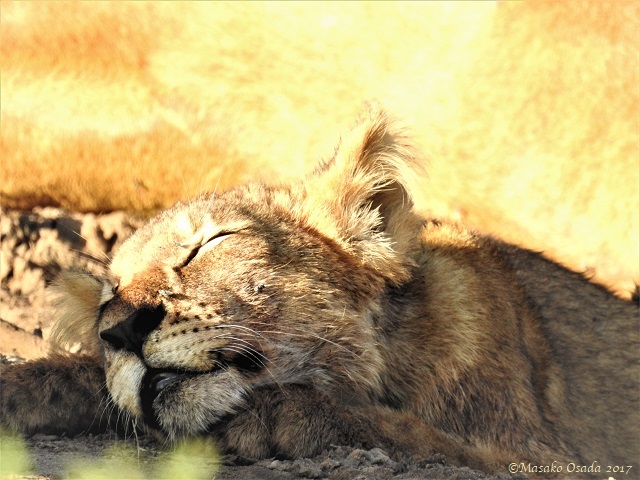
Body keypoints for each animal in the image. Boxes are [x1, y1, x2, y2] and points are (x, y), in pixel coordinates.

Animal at [1, 107, 638, 478]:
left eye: (209, 244)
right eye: (108, 298)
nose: (120, 331)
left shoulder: (546, 453)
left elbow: (413, 432)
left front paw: (282, 414)